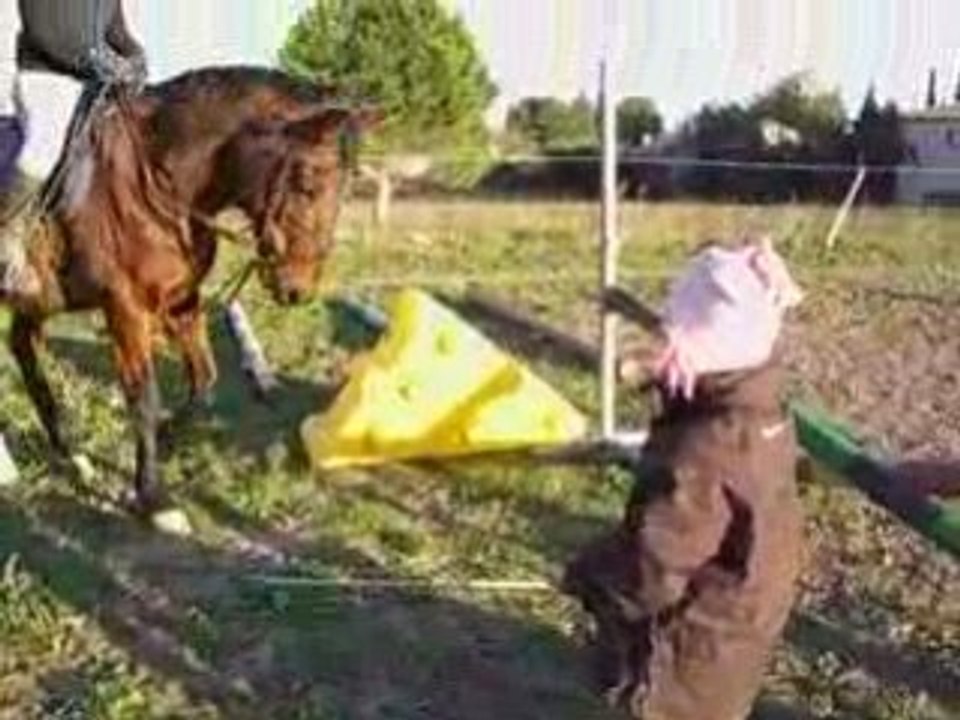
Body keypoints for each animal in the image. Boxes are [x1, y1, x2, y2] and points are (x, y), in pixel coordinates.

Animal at [0, 65, 380, 519]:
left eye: (346, 188)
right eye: (306, 183)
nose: (298, 289)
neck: (159, 183)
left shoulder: (182, 301)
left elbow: (204, 381)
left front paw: (166, 437)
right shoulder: (125, 309)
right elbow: (143, 397)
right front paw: (152, 498)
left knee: (24, 350)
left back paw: (70, 456)